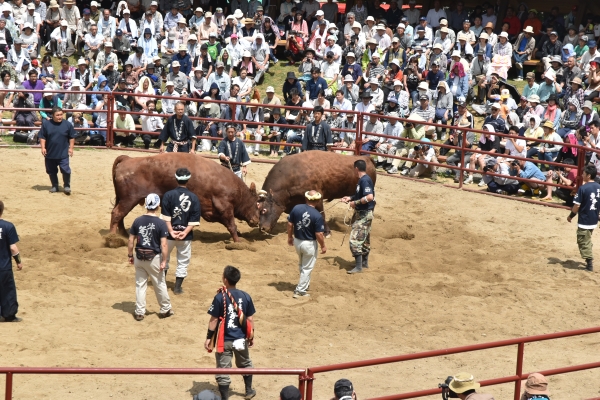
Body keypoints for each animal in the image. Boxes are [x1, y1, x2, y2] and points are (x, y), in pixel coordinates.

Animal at [109, 152, 258, 241]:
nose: (256, 220)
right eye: (256, 203)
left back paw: (122, 234)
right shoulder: (224, 206)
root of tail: (128, 159)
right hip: (129, 199)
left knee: (119, 215)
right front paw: (238, 241)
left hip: (122, 199)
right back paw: (112, 238)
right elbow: (232, 225)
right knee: (117, 213)